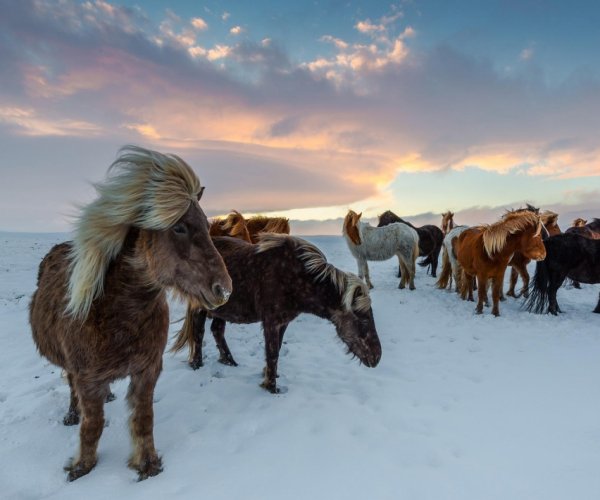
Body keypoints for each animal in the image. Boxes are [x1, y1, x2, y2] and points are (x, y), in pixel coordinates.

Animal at [29, 146, 233, 482]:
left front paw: (147, 464)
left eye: (207, 226)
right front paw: (81, 468)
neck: (119, 314)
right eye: (179, 227)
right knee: (72, 387)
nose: (224, 289)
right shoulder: (87, 378)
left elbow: (143, 418)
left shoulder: (147, 371)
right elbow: (92, 425)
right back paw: (72, 414)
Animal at [171, 234, 382, 394]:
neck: (296, 277)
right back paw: (197, 364)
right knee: (198, 333)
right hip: (200, 308)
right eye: (363, 320)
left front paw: (268, 375)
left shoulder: (283, 322)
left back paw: (229, 362)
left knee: (217, 330)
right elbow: (272, 353)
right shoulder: (271, 322)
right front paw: (271, 388)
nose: (377, 357)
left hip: (222, 310)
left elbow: (277, 350)